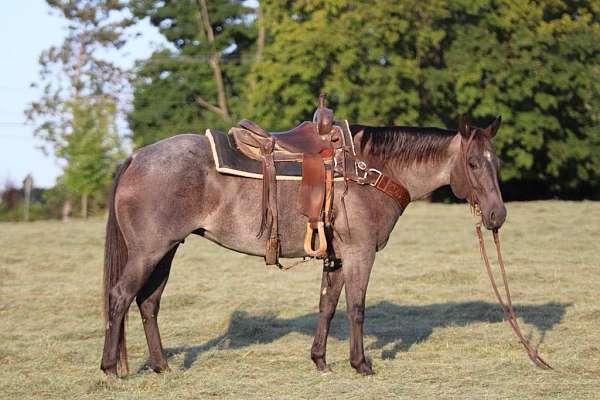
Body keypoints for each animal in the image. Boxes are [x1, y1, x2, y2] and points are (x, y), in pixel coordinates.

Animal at [101, 115, 504, 376]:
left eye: (496, 161)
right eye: (472, 163)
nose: (497, 215)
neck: (369, 171)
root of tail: (137, 156)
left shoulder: (337, 257)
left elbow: (327, 306)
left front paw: (320, 360)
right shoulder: (359, 253)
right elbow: (356, 308)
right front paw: (361, 364)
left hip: (166, 251)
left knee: (148, 303)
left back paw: (162, 366)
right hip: (148, 252)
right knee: (120, 297)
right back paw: (109, 368)